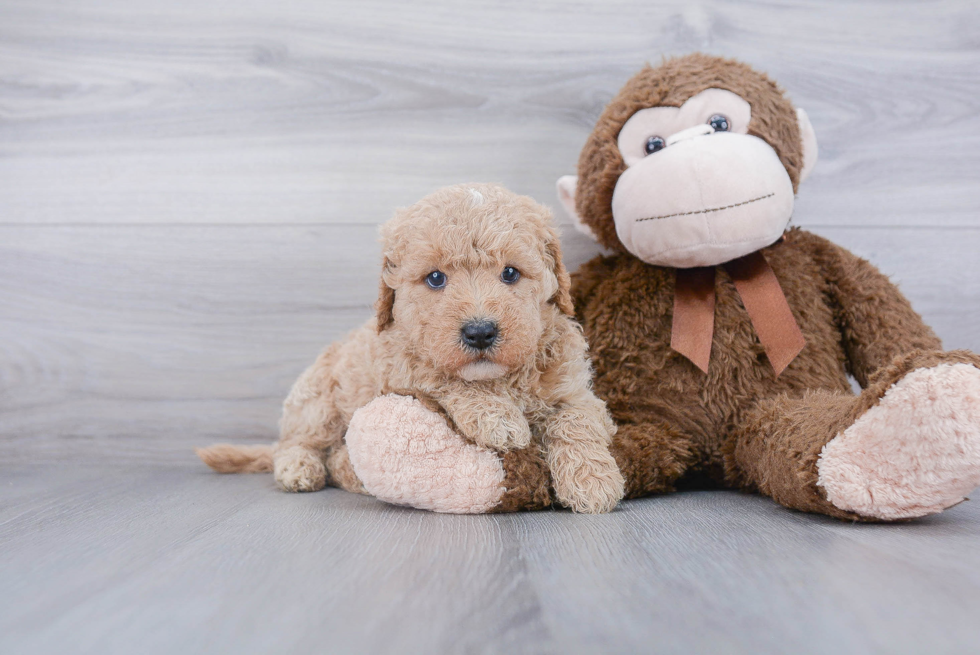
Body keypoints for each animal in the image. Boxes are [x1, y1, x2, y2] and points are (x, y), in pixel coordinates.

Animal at [199, 183, 624, 512]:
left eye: (510, 273)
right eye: (435, 279)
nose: (480, 332)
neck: (500, 378)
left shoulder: (574, 389)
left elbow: (577, 421)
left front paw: (593, 481)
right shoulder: (400, 365)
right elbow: (443, 376)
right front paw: (498, 418)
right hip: (317, 401)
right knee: (298, 443)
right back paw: (300, 468)